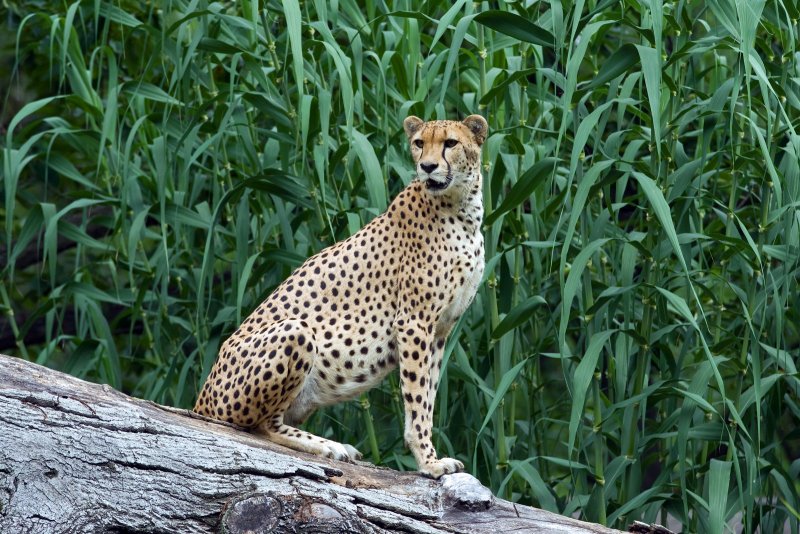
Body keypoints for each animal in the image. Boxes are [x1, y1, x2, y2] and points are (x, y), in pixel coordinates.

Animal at [195, 115, 488, 480]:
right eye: (420, 143)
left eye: (450, 143)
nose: (428, 167)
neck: (462, 207)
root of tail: (201, 399)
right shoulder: (413, 323)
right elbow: (418, 397)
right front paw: (429, 462)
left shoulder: (440, 330)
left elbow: (428, 396)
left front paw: (428, 456)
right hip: (296, 331)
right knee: (261, 425)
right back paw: (328, 446)